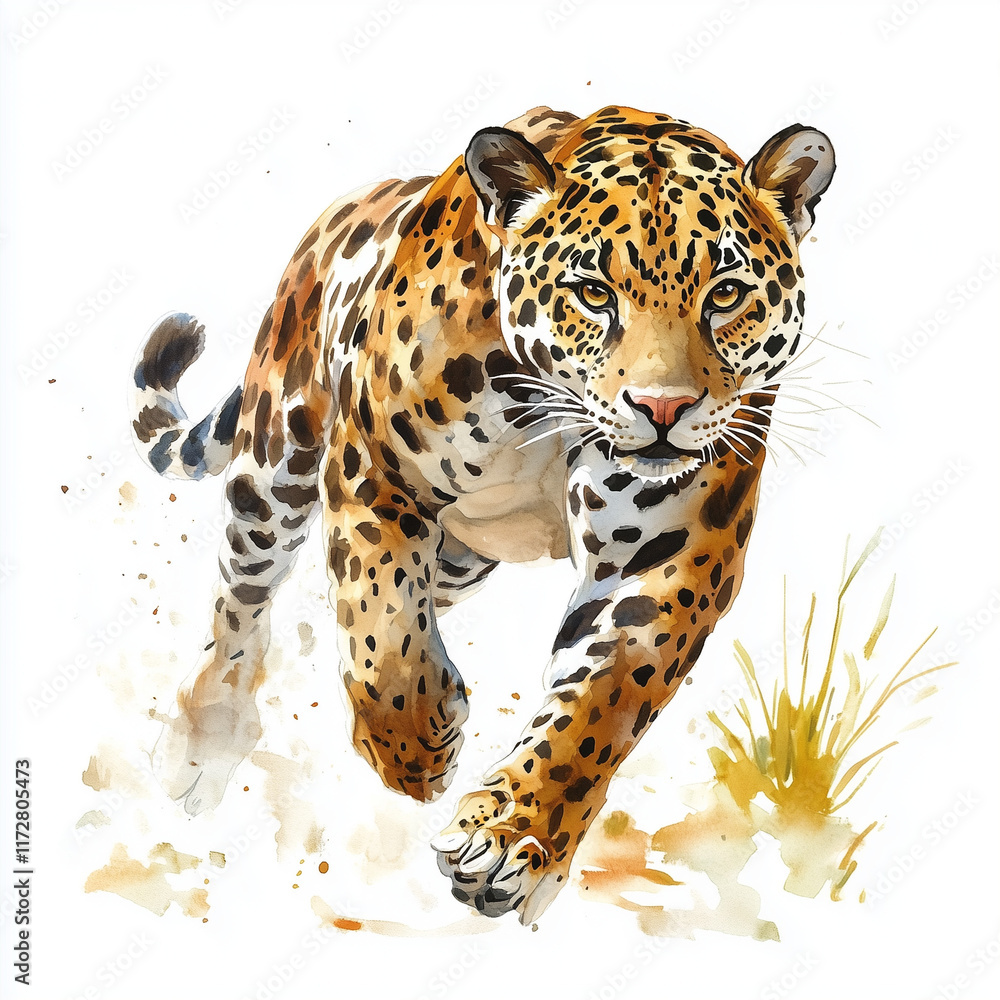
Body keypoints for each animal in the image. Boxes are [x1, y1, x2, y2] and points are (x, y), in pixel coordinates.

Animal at [130, 104, 835, 923]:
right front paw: (414, 749)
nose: (663, 410)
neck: (547, 400)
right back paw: (203, 740)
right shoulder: (374, 465)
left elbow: (601, 700)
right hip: (276, 455)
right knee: (243, 596)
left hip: (462, 559)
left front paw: (511, 841)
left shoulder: (671, 548)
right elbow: (380, 634)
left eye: (725, 294)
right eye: (593, 292)